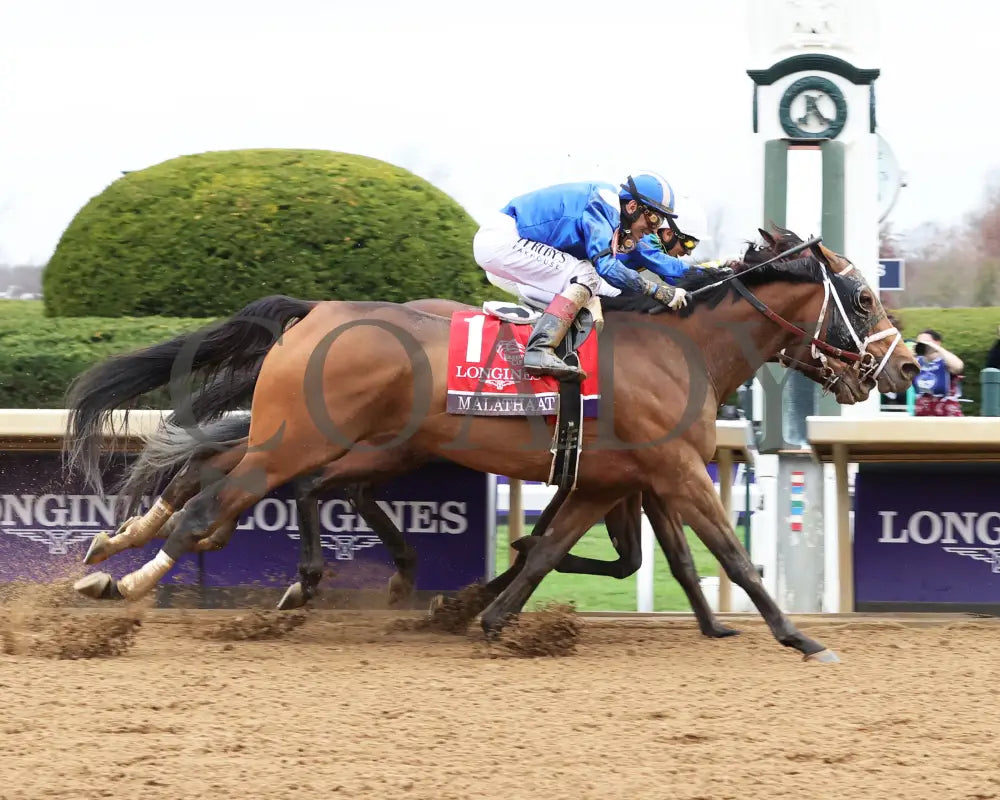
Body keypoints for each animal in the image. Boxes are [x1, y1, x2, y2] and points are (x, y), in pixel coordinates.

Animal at [66, 228, 916, 660]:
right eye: (861, 296)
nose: (906, 365)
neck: (685, 349)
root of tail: (315, 312)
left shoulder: (609, 480)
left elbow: (559, 551)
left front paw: (491, 612)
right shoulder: (675, 468)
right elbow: (730, 554)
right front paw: (798, 636)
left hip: (334, 437)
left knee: (231, 477)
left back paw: (122, 550)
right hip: (301, 435)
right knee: (213, 504)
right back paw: (122, 584)